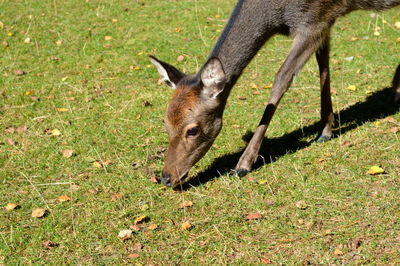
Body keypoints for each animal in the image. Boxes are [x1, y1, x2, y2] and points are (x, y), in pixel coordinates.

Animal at [150, 0, 400, 188]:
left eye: (192, 130)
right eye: (165, 124)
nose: (166, 178)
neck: (279, 16)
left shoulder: (314, 22)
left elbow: (281, 79)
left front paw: (242, 165)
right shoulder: (324, 22)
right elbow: (324, 66)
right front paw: (325, 130)